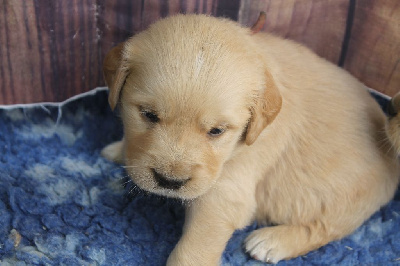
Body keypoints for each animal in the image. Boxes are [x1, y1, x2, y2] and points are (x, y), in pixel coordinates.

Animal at [101, 14, 400, 264]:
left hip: (343, 203)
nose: (169, 182)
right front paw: (118, 150)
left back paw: (271, 242)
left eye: (217, 131)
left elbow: (194, 248)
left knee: (322, 229)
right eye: (149, 115)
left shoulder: (225, 194)